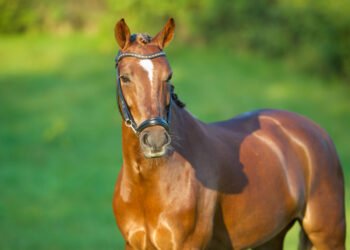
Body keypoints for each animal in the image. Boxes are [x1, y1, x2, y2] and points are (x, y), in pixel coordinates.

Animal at [111, 18, 344, 250]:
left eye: (168, 77)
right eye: (125, 78)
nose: (156, 140)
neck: (147, 182)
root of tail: (318, 132)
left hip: (328, 235)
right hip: (271, 237)